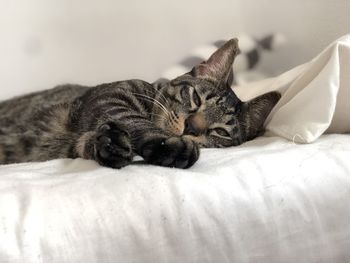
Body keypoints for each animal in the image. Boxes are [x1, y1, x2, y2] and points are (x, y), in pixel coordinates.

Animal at [0, 38, 278, 169]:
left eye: (220, 131)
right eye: (196, 98)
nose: (191, 128)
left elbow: (85, 144)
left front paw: (108, 144)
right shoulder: (111, 97)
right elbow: (135, 121)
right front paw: (171, 145)